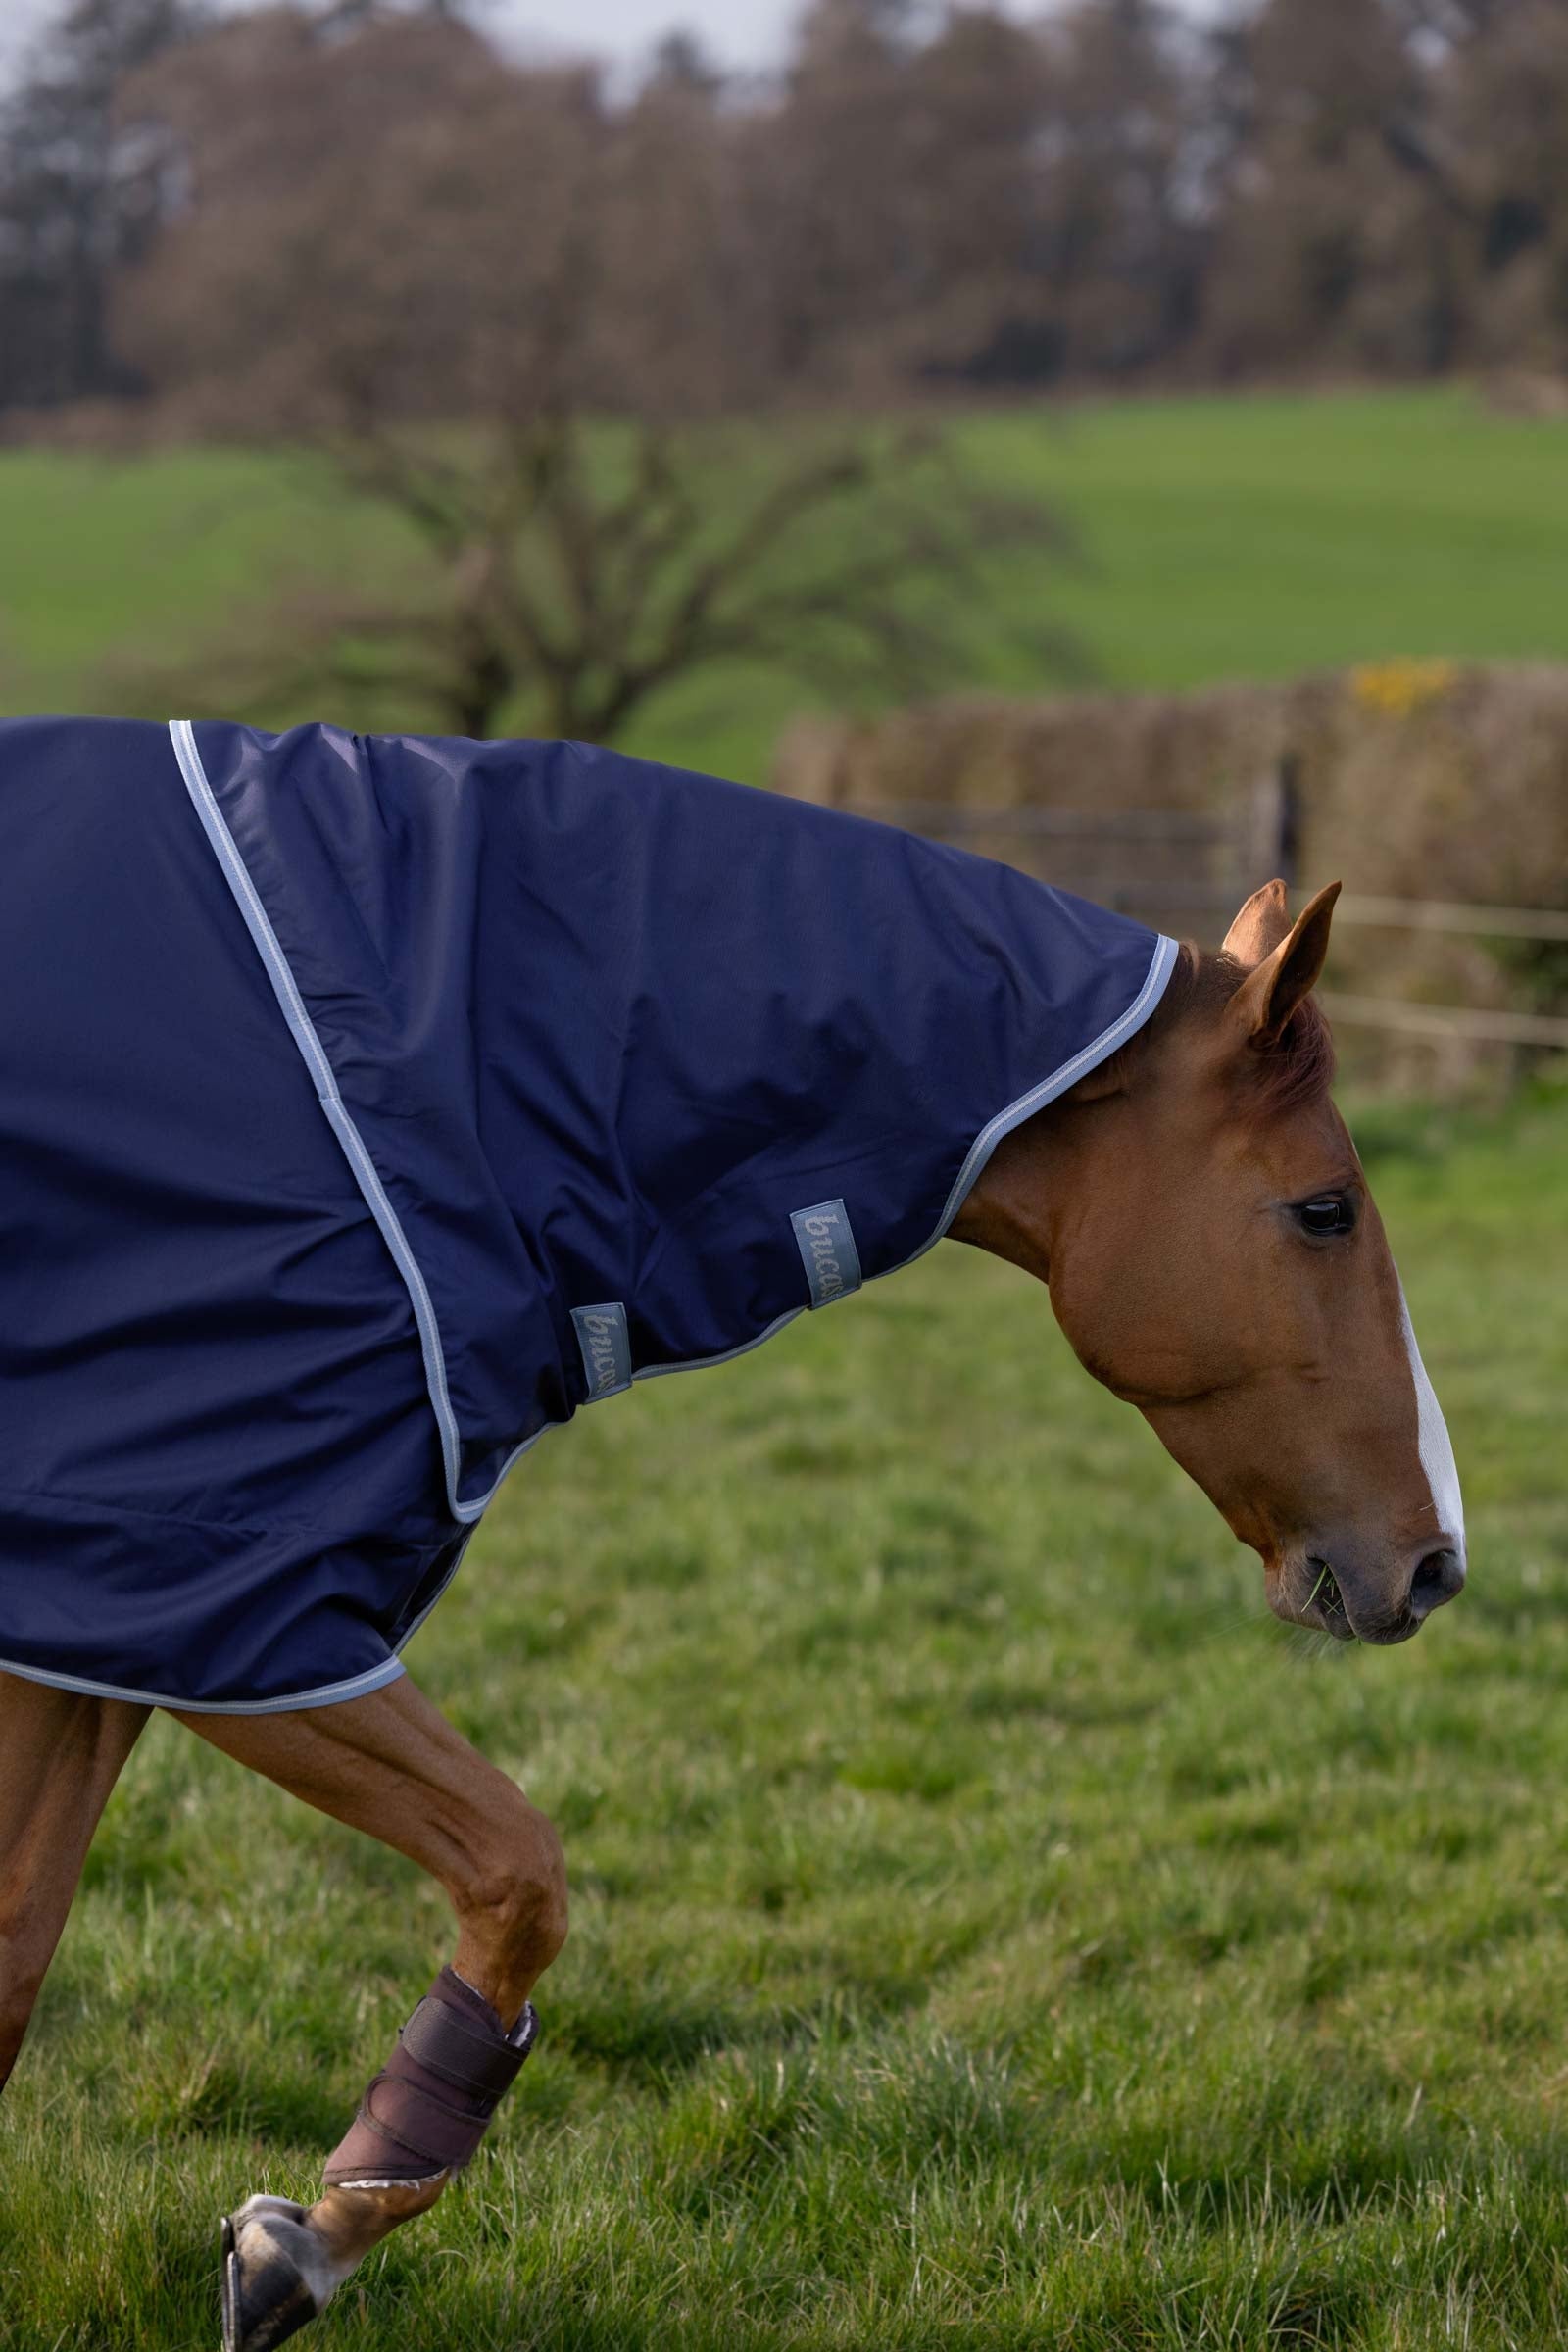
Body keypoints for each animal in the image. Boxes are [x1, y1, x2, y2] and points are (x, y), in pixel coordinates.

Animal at [0, 720, 1463, 2351]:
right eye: (1325, 1211)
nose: (1433, 1557)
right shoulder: (229, 1607)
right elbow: (518, 1874)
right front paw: (309, 2239)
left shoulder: (107, 1626)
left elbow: (19, 1959)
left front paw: (304, 2236)